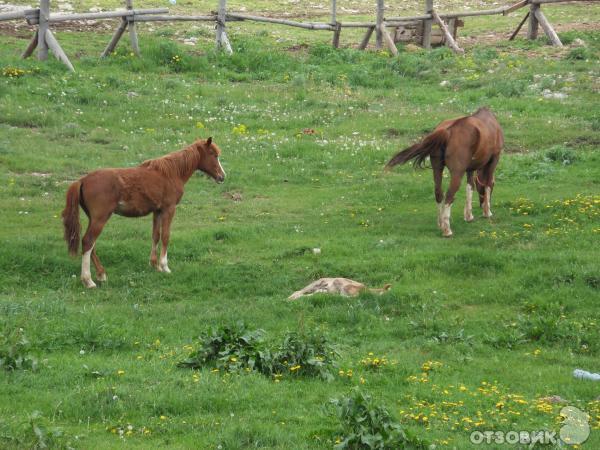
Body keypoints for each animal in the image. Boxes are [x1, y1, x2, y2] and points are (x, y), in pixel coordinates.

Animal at [62, 135, 225, 288]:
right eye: (213, 154)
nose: (222, 176)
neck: (171, 173)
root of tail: (82, 180)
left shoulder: (157, 210)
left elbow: (156, 236)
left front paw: (154, 265)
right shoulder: (169, 209)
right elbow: (165, 236)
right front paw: (165, 266)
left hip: (94, 219)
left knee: (91, 244)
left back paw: (101, 274)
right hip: (100, 218)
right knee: (88, 242)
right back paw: (88, 281)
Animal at [384, 107, 502, 237]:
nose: (481, 205)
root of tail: (447, 131)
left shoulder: (470, 169)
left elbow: (470, 187)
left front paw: (469, 215)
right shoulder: (494, 159)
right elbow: (488, 184)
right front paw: (487, 212)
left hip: (437, 169)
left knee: (438, 193)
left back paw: (440, 223)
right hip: (457, 173)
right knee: (449, 196)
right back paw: (447, 229)